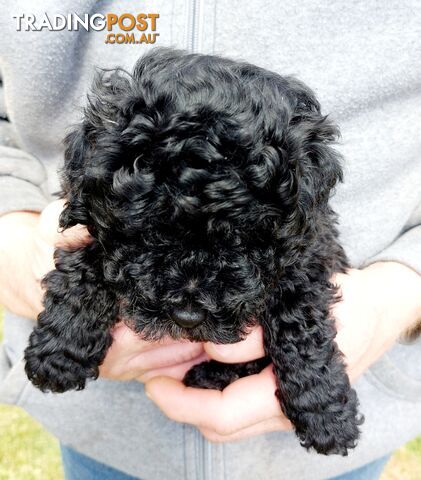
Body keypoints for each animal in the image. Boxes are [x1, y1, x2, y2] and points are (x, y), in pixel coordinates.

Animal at [25, 47, 360, 454]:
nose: (187, 316)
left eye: (242, 240)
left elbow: (300, 324)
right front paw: (58, 351)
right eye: (147, 235)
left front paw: (327, 412)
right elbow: (89, 264)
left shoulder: (310, 252)